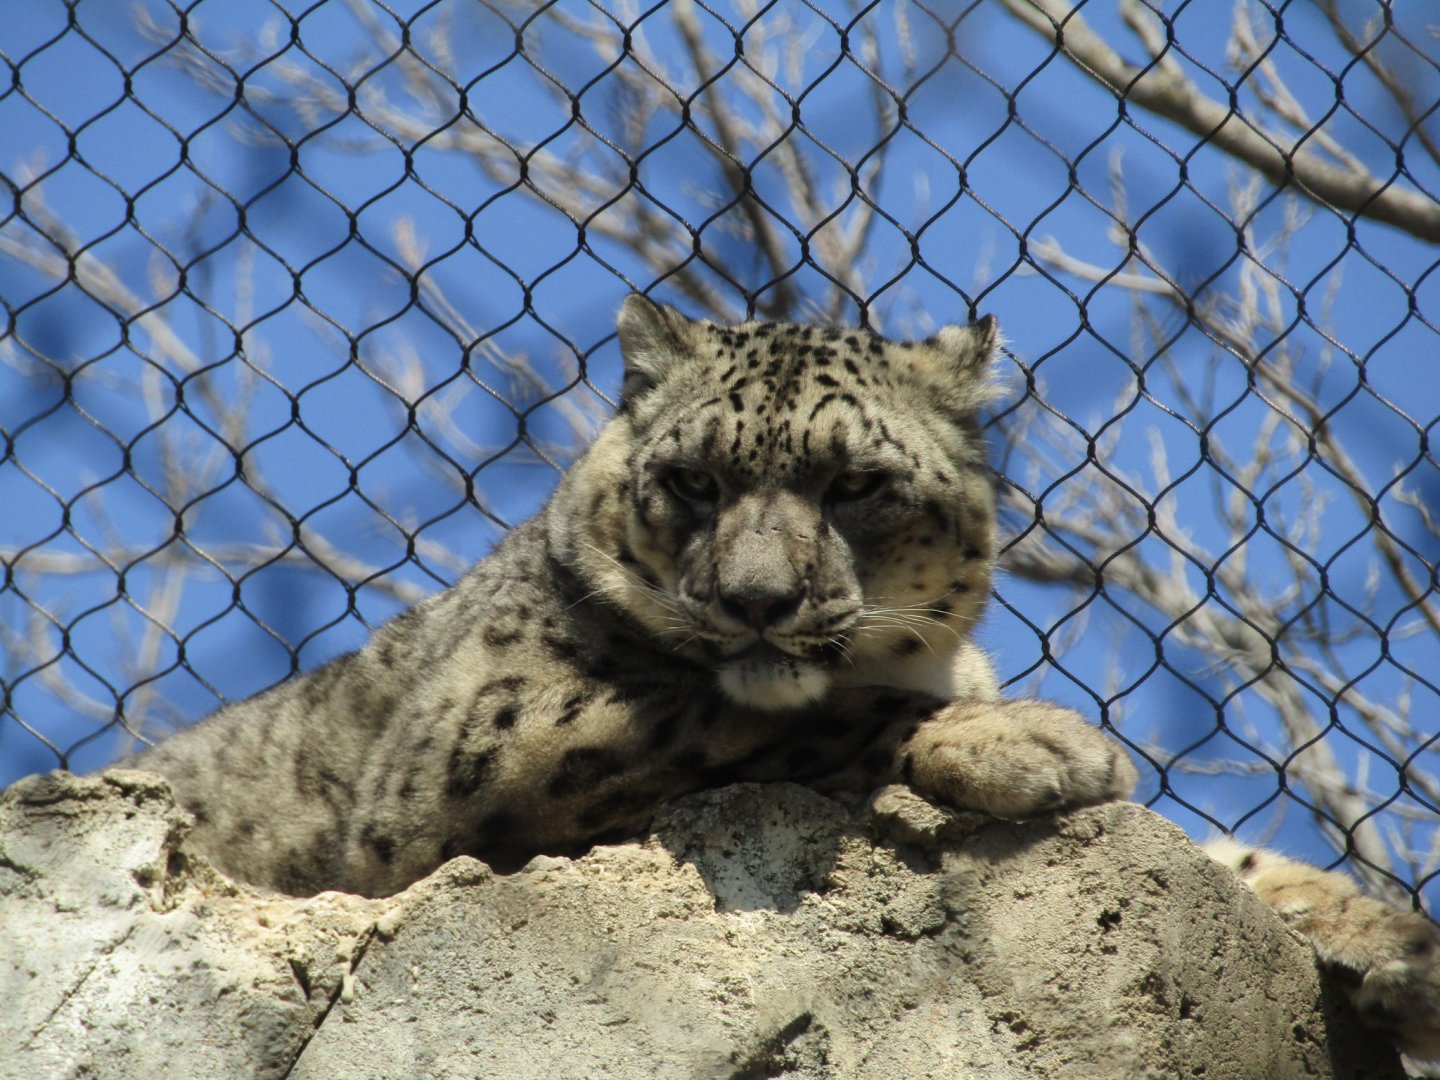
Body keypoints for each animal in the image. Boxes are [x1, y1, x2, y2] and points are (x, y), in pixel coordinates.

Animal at [116, 295, 1438, 1063]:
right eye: (693, 481)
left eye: (855, 484)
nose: (757, 599)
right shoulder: (476, 748)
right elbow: (770, 716)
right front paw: (1029, 740)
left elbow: (1236, 861)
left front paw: (1400, 949)